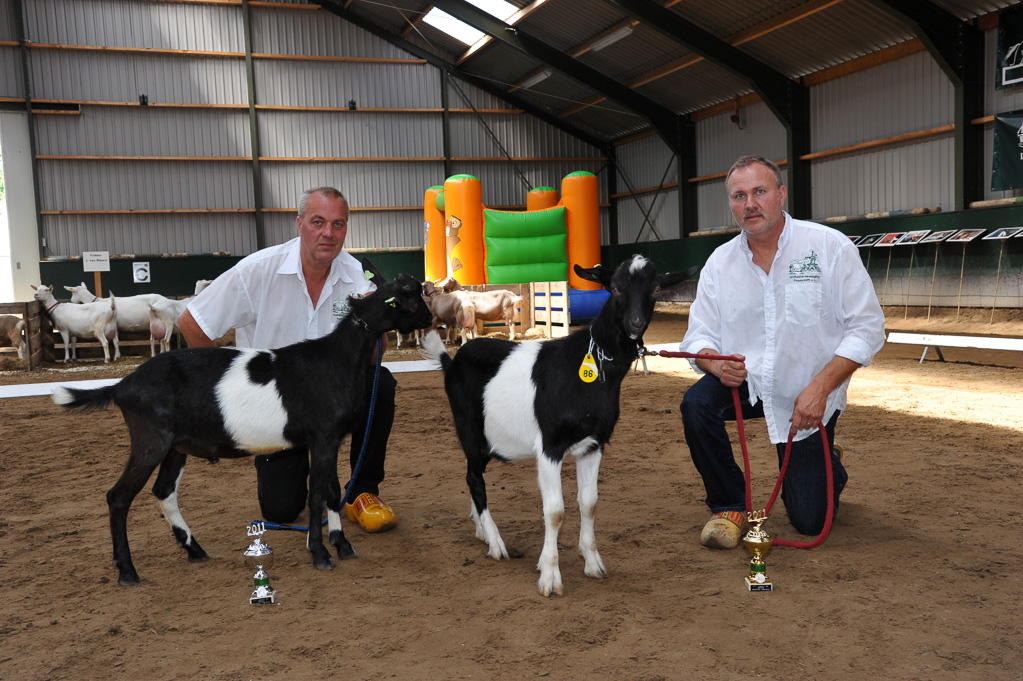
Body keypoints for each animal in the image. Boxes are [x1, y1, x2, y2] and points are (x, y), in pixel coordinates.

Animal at [51, 269, 431, 584]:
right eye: (415, 296)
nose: (430, 318)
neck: (335, 359)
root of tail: (123, 385)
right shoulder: (322, 437)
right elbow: (317, 494)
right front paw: (320, 553)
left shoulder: (328, 439)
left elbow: (334, 492)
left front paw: (342, 544)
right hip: (150, 442)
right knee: (118, 497)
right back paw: (127, 571)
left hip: (175, 447)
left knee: (164, 492)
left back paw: (194, 549)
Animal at [419, 254, 699, 593]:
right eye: (615, 287)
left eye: (656, 289)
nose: (634, 323)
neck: (588, 367)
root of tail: (451, 362)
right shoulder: (550, 446)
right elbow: (554, 512)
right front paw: (550, 575)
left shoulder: (594, 444)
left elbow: (589, 503)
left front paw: (592, 563)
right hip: (469, 429)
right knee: (474, 478)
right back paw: (497, 544)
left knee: (472, 475)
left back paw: (482, 531)